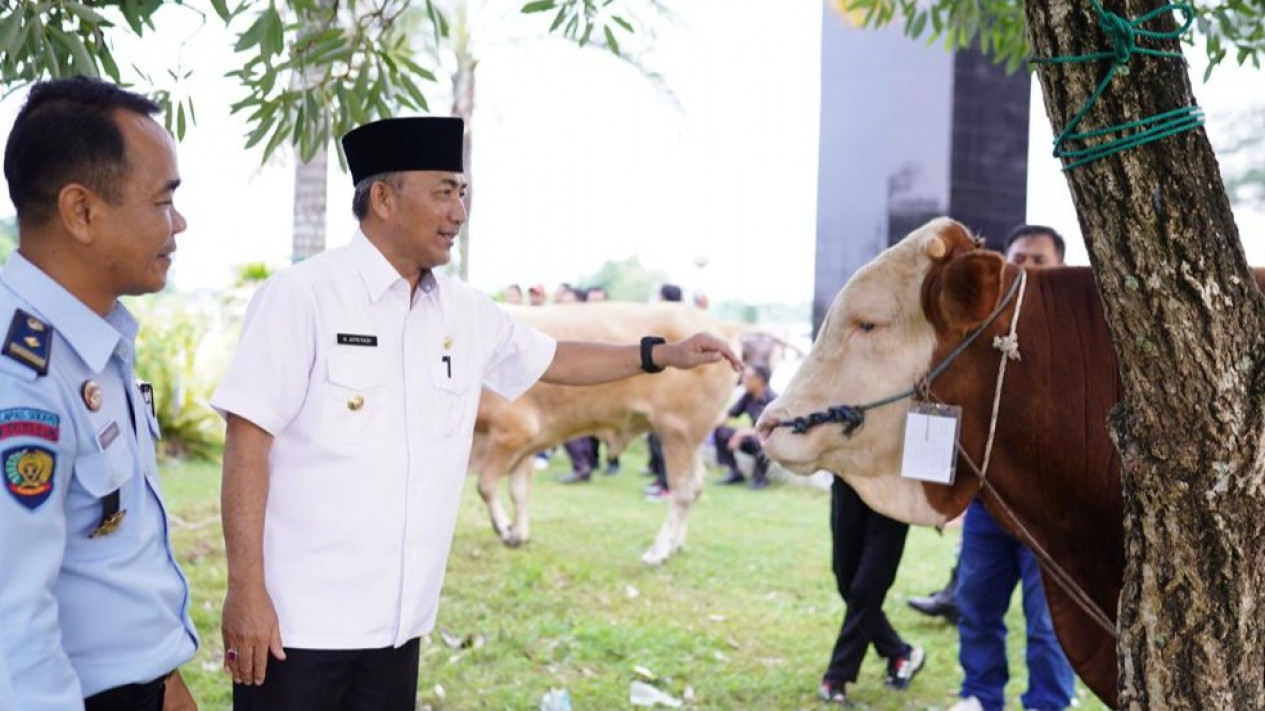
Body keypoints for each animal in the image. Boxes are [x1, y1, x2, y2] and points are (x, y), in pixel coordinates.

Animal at [470, 299, 738, 564]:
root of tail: (722, 326)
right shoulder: (527, 444)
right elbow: (520, 491)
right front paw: (519, 534)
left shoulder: (512, 431)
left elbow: (486, 485)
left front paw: (505, 530)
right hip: (693, 439)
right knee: (697, 486)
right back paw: (676, 545)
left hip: (678, 432)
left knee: (683, 492)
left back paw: (659, 551)